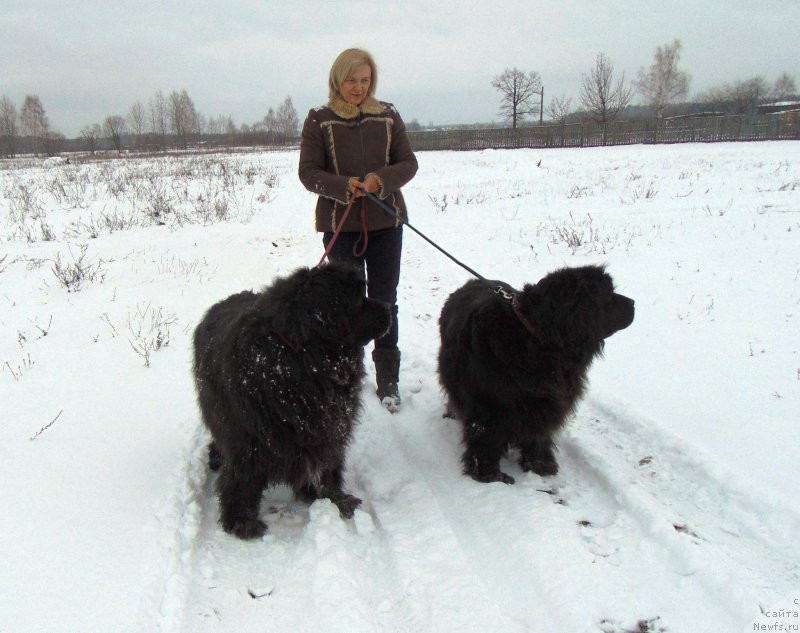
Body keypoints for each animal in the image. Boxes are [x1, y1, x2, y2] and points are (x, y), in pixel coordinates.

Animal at [195, 262, 394, 540]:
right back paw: (216, 458)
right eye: (357, 299)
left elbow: (328, 464)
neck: (304, 359)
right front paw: (241, 521)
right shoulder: (249, 436)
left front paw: (334, 498)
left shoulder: (326, 426)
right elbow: (242, 477)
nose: (389, 308)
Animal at [438, 264, 632, 482]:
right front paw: (489, 474)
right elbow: (486, 439)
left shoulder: (543, 403)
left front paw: (539, 464)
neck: (538, 340)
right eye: (609, 296)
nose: (633, 303)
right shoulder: (489, 406)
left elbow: (538, 435)